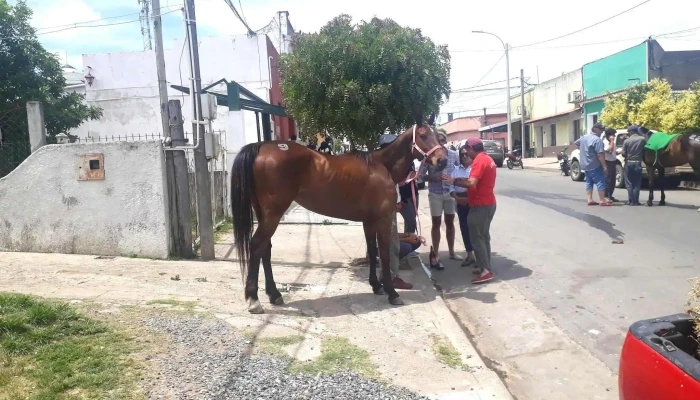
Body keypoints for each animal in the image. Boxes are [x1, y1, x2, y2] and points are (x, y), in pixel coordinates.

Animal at [232, 120, 446, 314]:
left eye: (438, 136)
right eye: (423, 135)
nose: (442, 160)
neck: (381, 166)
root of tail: (260, 146)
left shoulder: (369, 221)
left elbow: (372, 250)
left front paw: (376, 286)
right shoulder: (383, 220)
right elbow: (384, 254)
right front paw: (391, 292)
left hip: (264, 214)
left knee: (265, 249)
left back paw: (274, 294)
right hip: (273, 214)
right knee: (256, 245)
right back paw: (254, 300)